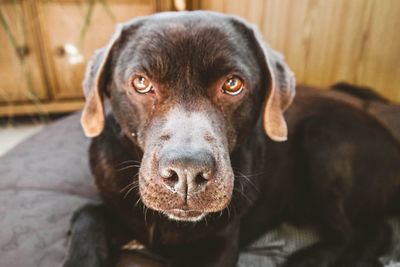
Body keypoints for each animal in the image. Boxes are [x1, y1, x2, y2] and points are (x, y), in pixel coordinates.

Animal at [62, 11, 400, 267]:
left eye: (233, 84)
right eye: (141, 83)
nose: (187, 174)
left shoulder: (219, 244)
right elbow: (89, 213)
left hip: (322, 139)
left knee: (360, 232)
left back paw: (309, 258)